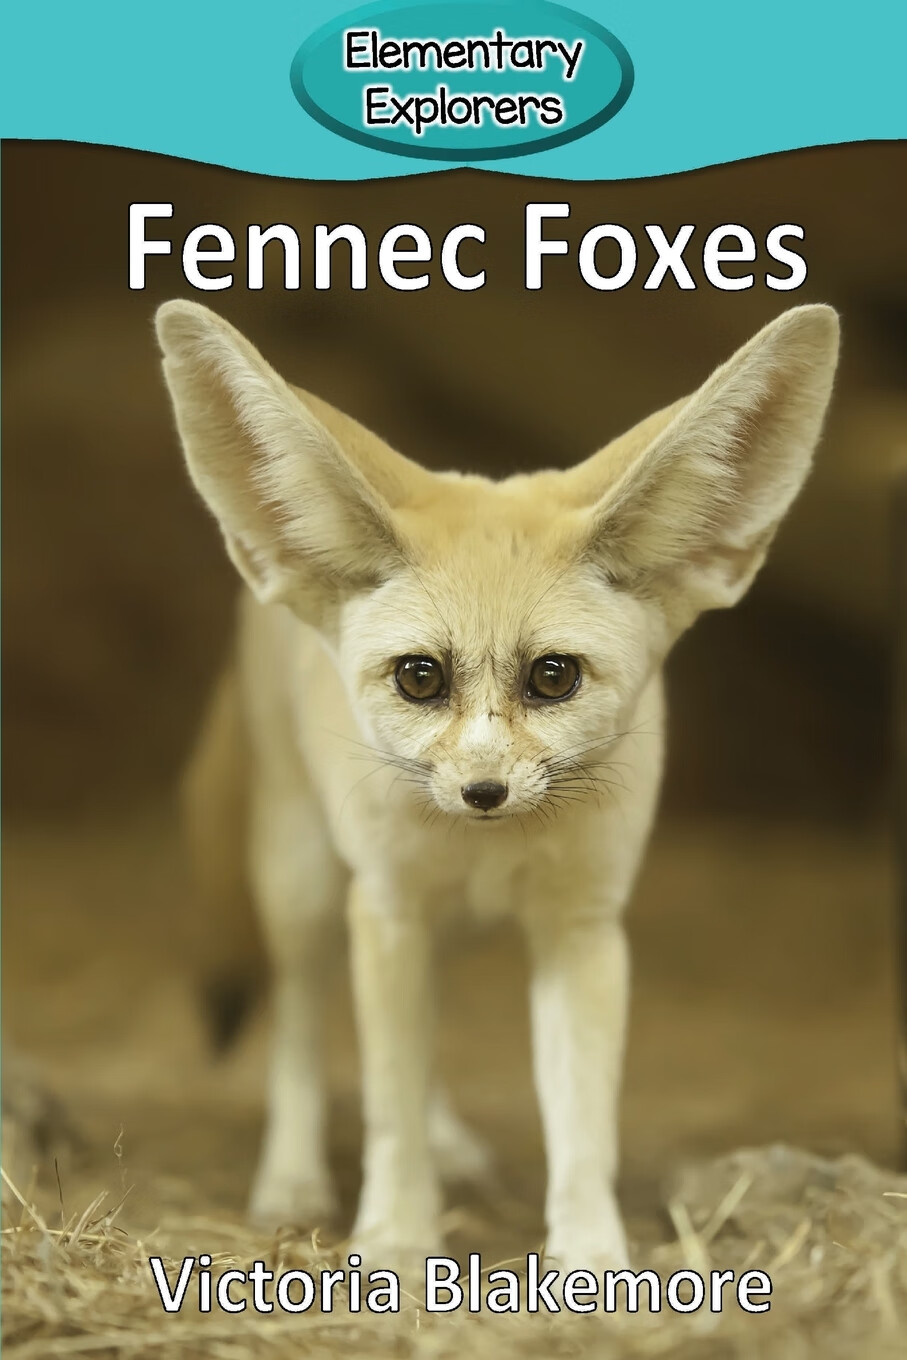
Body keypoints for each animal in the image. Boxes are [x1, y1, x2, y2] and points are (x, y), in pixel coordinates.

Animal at [156, 300, 839, 1274]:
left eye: (553, 677)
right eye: (420, 678)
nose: (482, 791)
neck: (487, 849)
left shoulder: (580, 926)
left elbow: (581, 1128)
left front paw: (591, 1260)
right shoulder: (388, 906)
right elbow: (387, 1104)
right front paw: (395, 1240)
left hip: (433, 925)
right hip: (306, 886)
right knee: (296, 1020)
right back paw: (291, 1177)